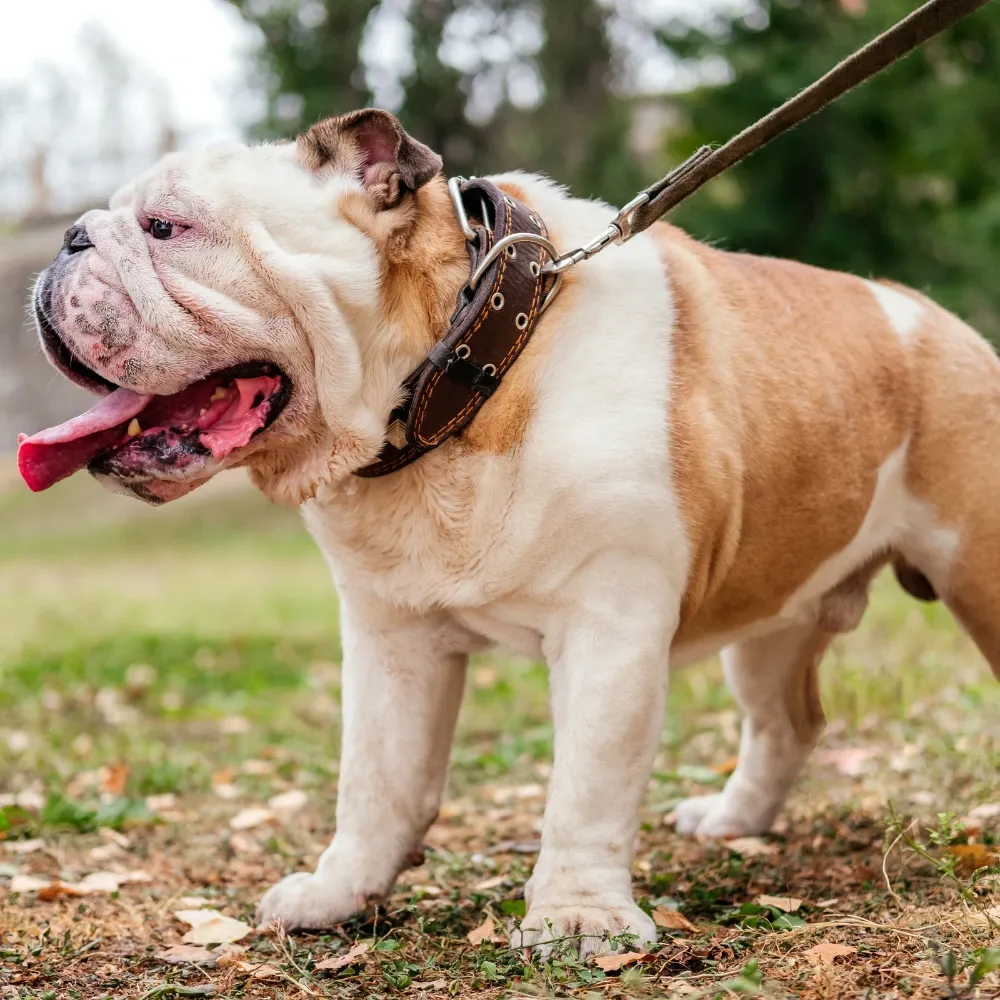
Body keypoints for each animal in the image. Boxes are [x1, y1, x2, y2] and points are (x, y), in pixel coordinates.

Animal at [18, 108, 1000, 956]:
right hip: (773, 615)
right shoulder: (390, 639)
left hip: (976, 570)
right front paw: (339, 893)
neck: (462, 369)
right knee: (786, 721)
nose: (69, 239)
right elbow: (375, 780)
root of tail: (939, 321)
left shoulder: (610, 634)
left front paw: (577, 919)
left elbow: (586, 790)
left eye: (165, 226)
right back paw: (732, 822)